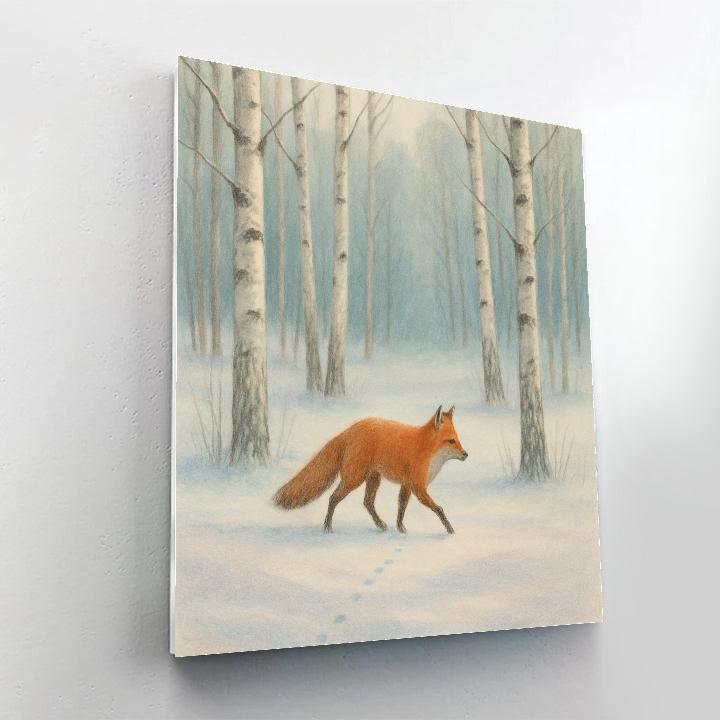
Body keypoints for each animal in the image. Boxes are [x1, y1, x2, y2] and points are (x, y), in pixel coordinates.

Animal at [273, 405, 468, 534]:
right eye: (451, 441)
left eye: (458, 439)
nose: (466, 454)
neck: (426, 449)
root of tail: (348, 430)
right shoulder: (418, 487)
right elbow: (439, 509)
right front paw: (450, 529)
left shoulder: (407, 485)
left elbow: (401, 507)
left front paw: (400, 528)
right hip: (354, 478)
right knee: (333, 498)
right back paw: (327, 527)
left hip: (373, 478)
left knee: (367, 502)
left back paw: (380, 524)